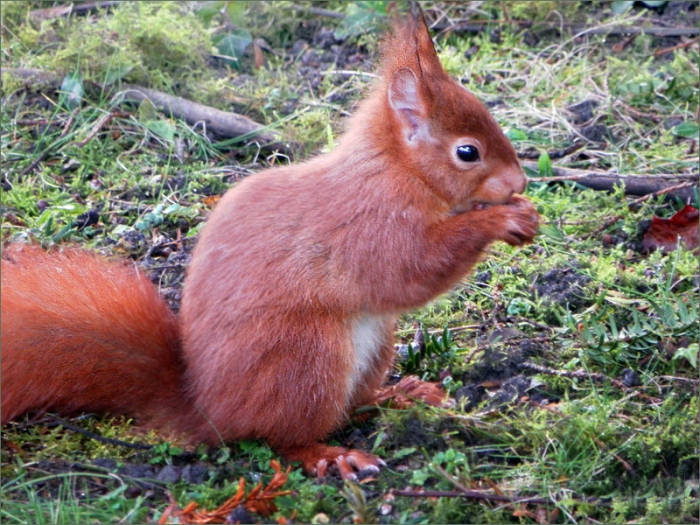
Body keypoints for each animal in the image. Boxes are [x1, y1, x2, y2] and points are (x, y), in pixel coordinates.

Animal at [1, 11, 539, 480]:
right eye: (467, 152)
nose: (520, 181)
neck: (395, 170)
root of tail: (209, 411)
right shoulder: (372, 225)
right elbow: (411, 272)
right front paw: (502, 218)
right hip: (305, 358)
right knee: (281, 437)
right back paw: (330, 455)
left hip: (372, 345)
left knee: (355, 402)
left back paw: (397, 395)